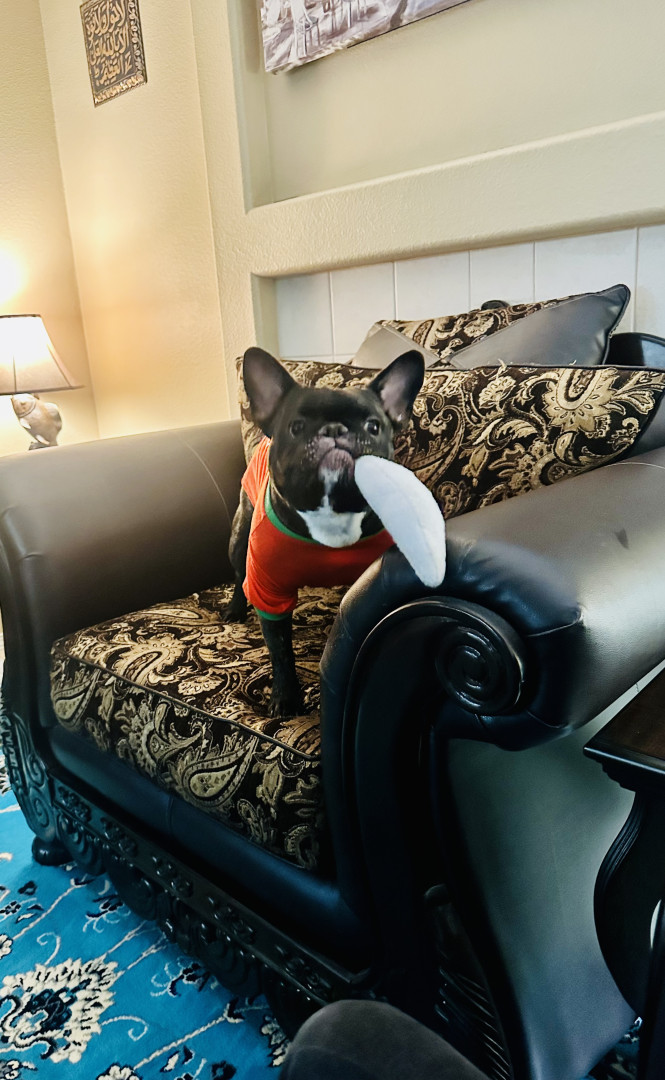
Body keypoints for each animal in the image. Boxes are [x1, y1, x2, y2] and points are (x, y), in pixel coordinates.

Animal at [223, 346, 425, 718]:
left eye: (374, 426)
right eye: (296, 426)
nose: (334, 429)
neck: (331, 511)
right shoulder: (269, 591)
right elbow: (281, 652)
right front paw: (285, 698)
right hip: (239, 533)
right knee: (238, 572)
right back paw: (234, 607)